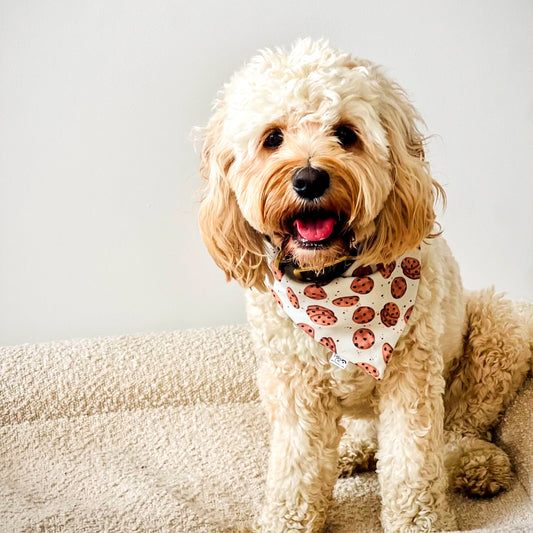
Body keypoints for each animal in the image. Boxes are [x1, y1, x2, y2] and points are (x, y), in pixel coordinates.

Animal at [196, 39, 532, 528]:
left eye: (345, 134)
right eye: (272, 138)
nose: (309, 178)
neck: (332, 288)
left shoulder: (411, 377)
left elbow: (413, 461)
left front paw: (419, 522)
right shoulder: (295, 387)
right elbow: (297, 466)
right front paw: (287, 519)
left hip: (500, 326)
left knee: (461, 422)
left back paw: (475, 462)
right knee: (366, 434)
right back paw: (353, 449)